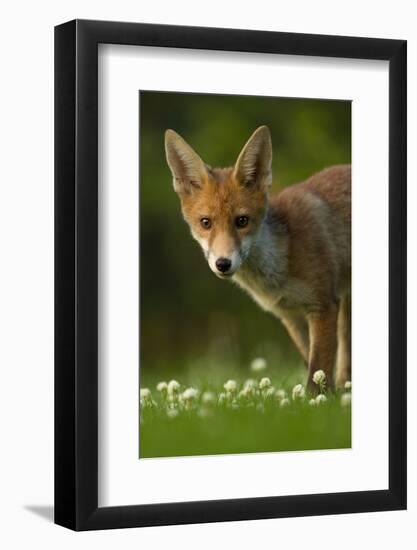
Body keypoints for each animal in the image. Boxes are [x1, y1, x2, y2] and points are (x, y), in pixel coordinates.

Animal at [164, 126, 350, 392]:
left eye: (242, 221)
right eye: (206, 223)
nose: (223, 263)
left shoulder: (323, 305)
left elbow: (318, 369)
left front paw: (321, 400)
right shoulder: (290, 317)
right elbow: (314, 367)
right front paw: (329, 397)